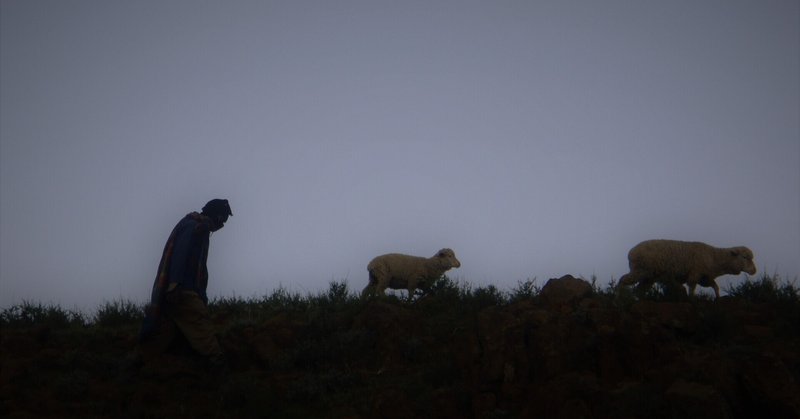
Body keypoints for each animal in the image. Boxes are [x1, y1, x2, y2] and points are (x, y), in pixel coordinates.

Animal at [620, 240, 756, 298]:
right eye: (744, 257)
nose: (754, 270)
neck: (714, 257)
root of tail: (631, 252)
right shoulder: (695, 274)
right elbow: (691, 289)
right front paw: (692, 299)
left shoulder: (704, 278)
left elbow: (715, 286)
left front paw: (718, 297)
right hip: (640, 271)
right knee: (623, 281)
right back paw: (618, 296)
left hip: (648, 277)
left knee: (638, 290)